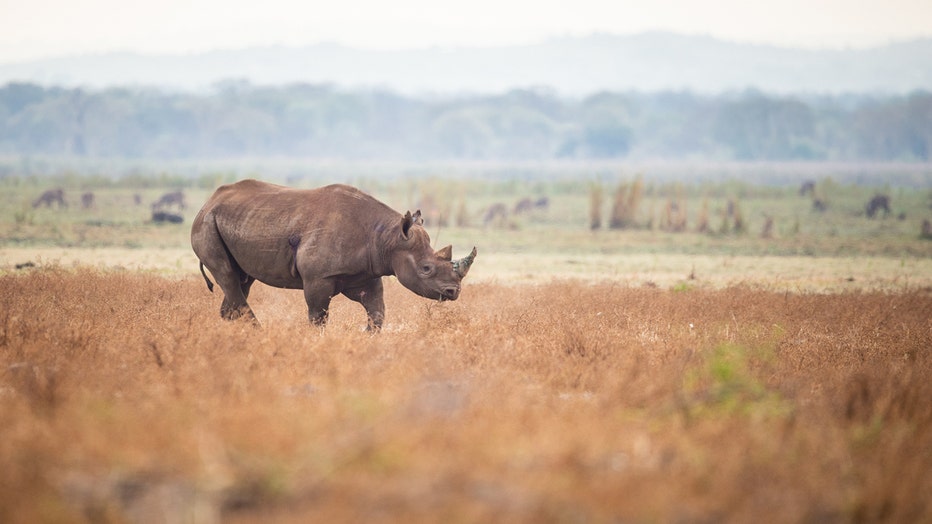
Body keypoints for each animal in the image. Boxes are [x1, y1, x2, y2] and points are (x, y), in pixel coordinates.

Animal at [192, 178, 476, 330]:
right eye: (426, 269)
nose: (453, 292)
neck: (387, 237)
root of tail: (208, 201)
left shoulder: (366, 273)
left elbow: (377, 313)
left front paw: (366, 338)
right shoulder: (318, 277)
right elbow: (318, 316)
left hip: (234, 220)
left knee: (242, 280)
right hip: (207, 223)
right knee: (228, 276)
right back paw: (257, 334)